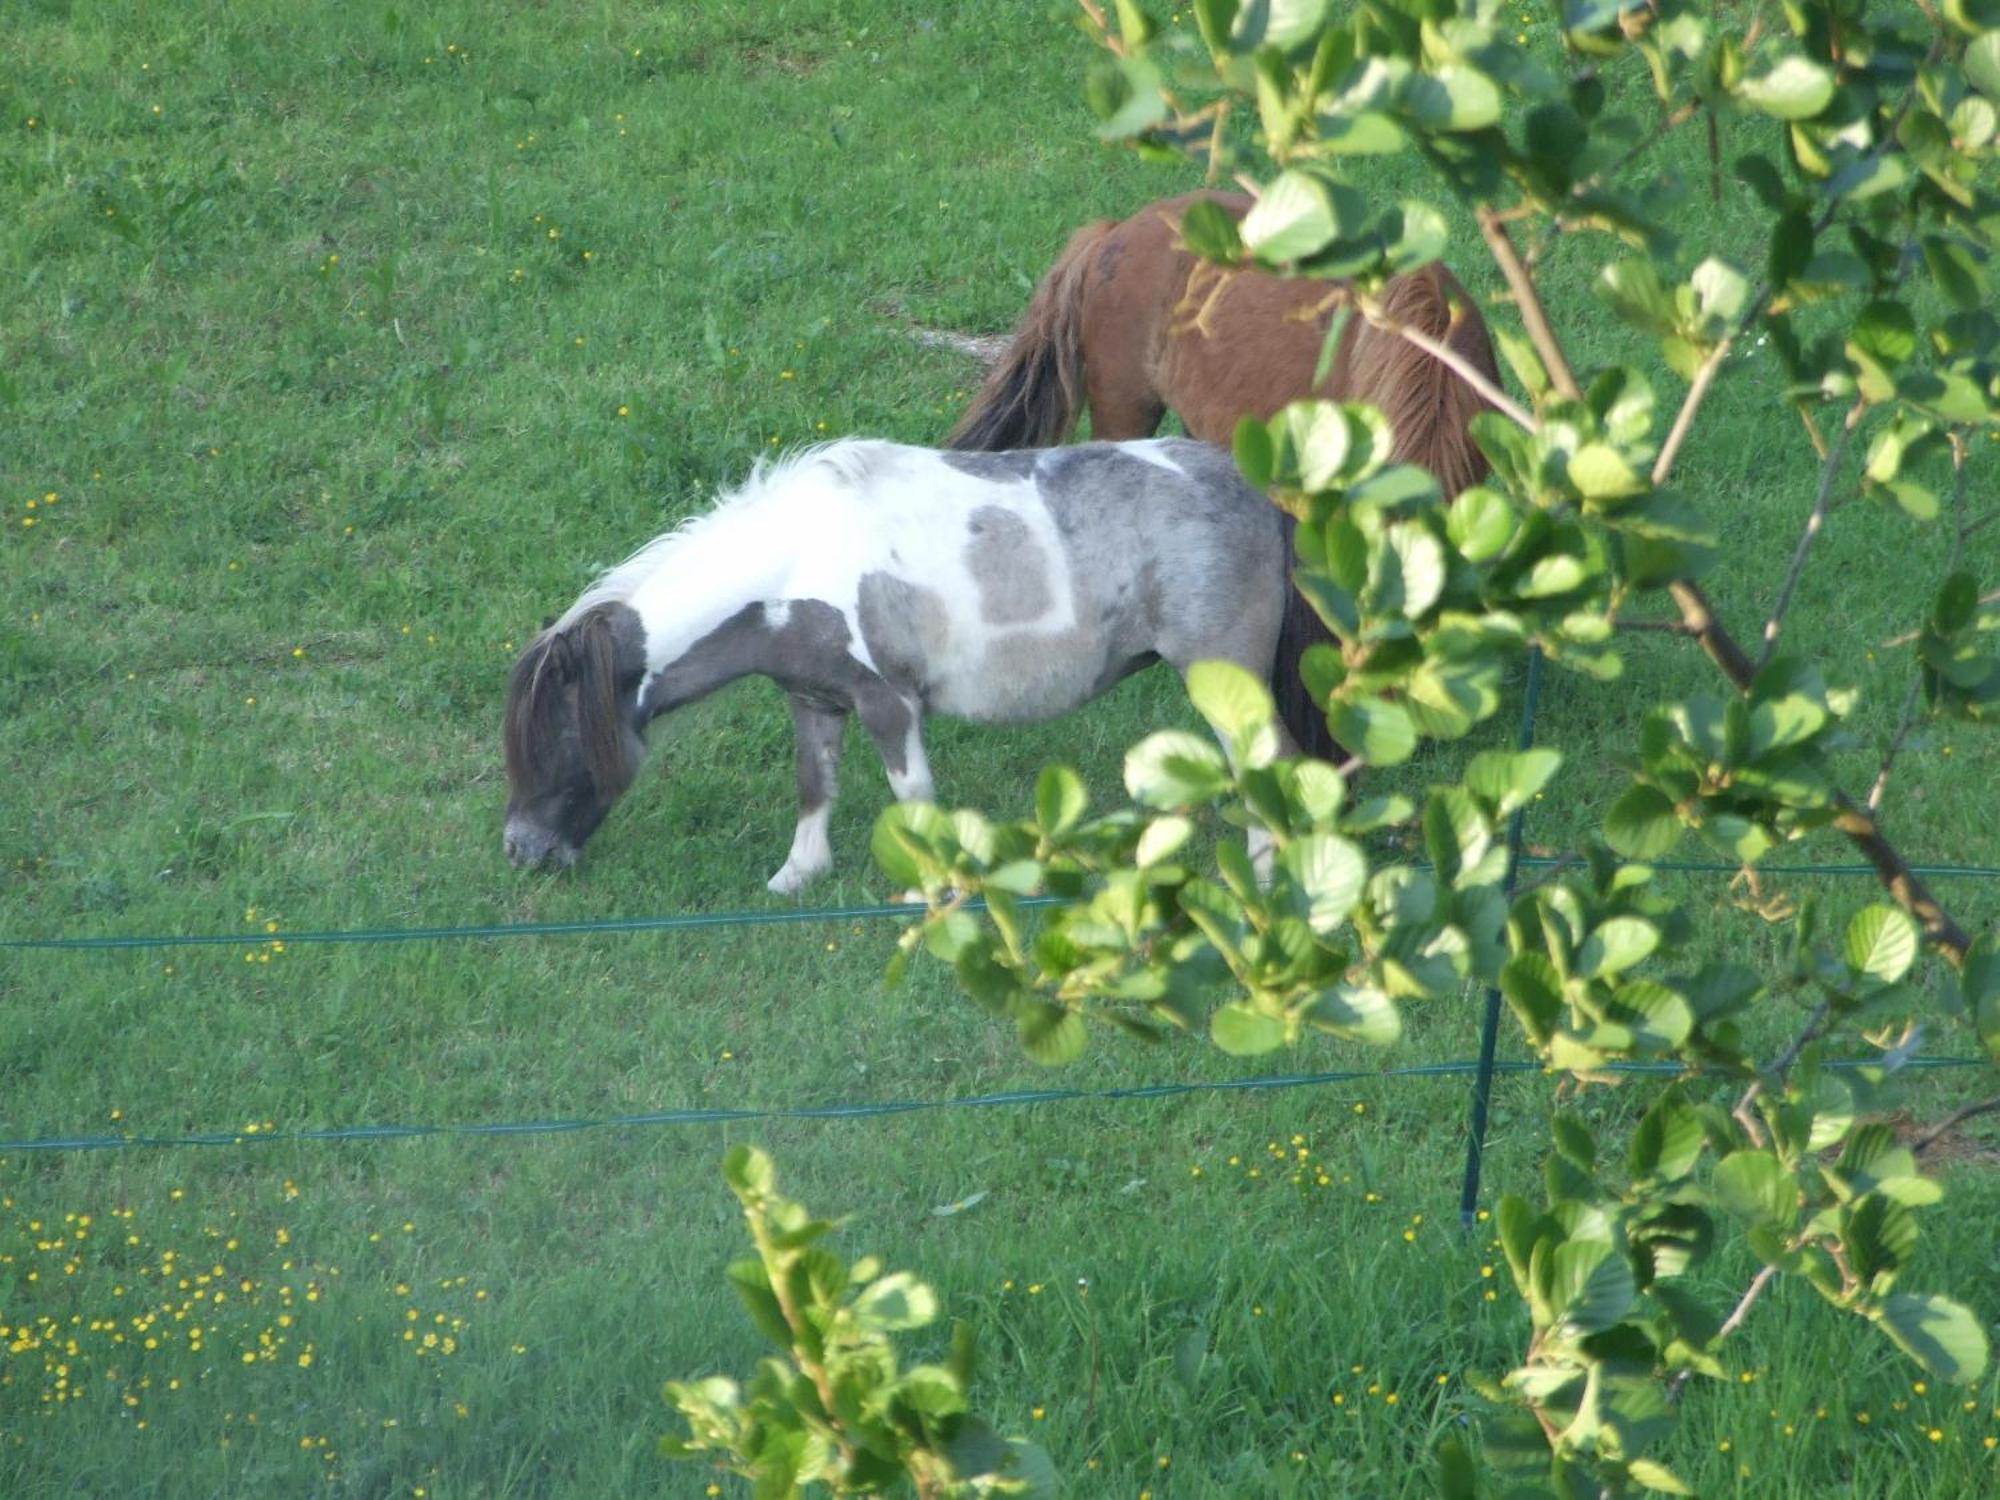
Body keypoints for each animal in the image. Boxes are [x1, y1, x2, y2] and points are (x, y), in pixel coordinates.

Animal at [500, 440, 1296, 900]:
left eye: (558, 740)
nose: (520, 851)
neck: (791, 565)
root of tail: (1256, 489)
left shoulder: (889, 703)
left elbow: (911, 797)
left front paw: (927, 892)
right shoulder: (814, 700)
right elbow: (814, 783)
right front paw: (797, 875)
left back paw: (1263, 880)